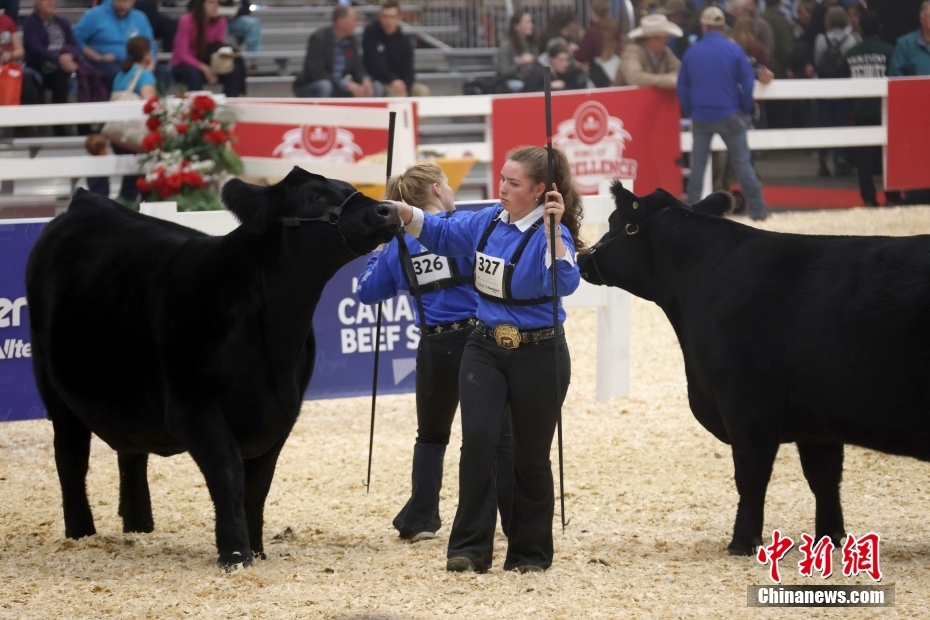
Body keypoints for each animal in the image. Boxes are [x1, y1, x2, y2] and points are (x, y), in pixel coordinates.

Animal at [27, 167, 396, 568]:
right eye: (313, 196)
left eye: (347, 188)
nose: (387, 210)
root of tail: (85, 201)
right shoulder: (194, 411)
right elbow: (228, 476)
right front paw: (235, 554)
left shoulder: (284, 415)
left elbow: (257, 486)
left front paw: (258, 549)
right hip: (53, 389)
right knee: (71, 457)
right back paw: (81, 532)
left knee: (131, 453)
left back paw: (139, 527)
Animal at [576, 183, 928, 556]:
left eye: (615, 221)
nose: (582, 258)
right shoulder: (817, 422)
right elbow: (824, 479)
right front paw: (830, 539)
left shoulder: (746, 406)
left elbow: (751, 476)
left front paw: (742, 542)